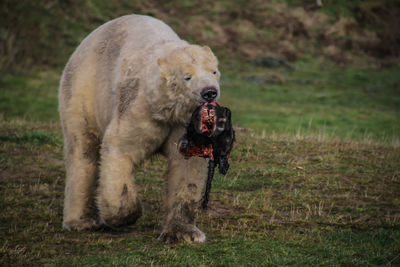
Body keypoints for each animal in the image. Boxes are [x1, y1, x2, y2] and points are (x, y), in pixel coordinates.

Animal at [58, 15, 222, 245]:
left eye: (213, 71)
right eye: (187, 77)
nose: (209, 92)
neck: (165, 108)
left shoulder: (183, 124)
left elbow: (187, 165)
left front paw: (183, 233)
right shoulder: (138, 108)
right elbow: (120, 150)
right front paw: (125, 215)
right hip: (83, 89)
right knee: (82, 149)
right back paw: (81, 222)